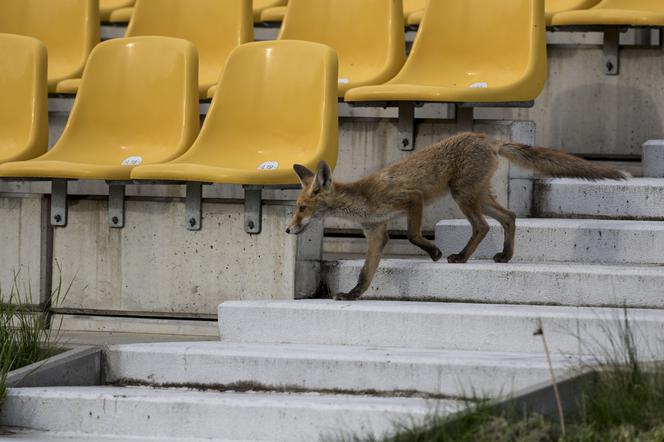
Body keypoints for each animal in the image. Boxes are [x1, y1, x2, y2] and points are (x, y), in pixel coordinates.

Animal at [286, 132, 628, 300]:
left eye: (301, 208)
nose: (288, 230)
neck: (365, 199)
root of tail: (487, 138)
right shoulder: (376, 232)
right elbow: (365, 273)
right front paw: (353, 294)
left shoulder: (411, 200)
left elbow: (413, 235)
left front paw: (434, 252)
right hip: (476, 194)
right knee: (509, 216)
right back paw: (505, 255)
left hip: (462, 194)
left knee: (483, 226)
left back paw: (461, 257)